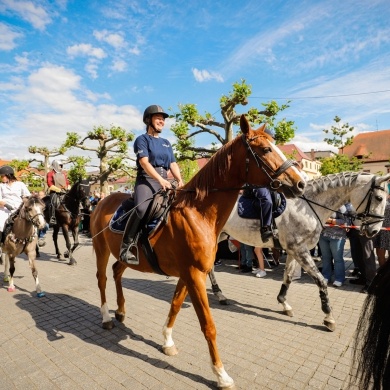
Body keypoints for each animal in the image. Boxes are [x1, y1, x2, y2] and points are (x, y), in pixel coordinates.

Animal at [90, 114, 306, 388]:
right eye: (266, 149)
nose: (300, 183)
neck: (198, 212)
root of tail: (102, 201)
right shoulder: (194, 275)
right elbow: (208, 325)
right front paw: (221, 374)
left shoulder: (190, 274)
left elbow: (174, 305)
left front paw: (167, 341)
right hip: (100, 249)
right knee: (102, 279)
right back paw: (107, 317)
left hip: (125, 257)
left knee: (117, 271)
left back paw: (120, 311)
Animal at [210, 173, 390, 332]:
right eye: (379, 198)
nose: (374, 231)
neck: (307, 208)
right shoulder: (300, 250)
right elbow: (321, 281)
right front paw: (329, 317)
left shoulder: (293, 251)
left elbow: (288, 277)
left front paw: (284, 303)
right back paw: (218, 294)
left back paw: (219, 295)